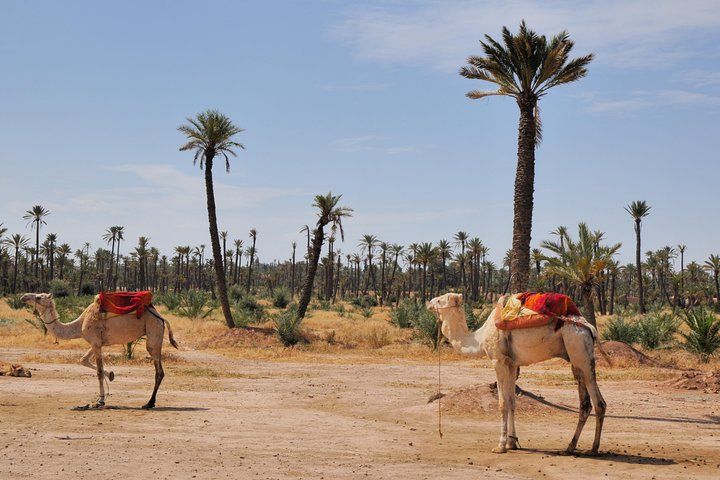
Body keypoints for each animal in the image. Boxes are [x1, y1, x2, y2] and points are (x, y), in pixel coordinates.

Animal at [21, 292, 178, 409]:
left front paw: (100, 400)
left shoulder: (95, 342)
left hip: (153, 331)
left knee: (159, 370)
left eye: (38, 297)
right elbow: (83, 360)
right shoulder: (96, 343)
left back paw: (149, 403)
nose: (23, 296)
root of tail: (161, 317)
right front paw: (111, 375)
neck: (79, 324)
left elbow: (98, 371)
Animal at [428, 292, 606, 455]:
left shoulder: (498, 361)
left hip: (579, 350)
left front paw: (500, 446)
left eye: (440, 300)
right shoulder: (512, 364)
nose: (428, 303)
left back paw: (593, 449)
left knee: (598, 402)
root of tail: (589, 328)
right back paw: (570, 447)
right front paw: (512, 443)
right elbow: (512, 401)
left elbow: (502, 403)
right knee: (586, 404)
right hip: (576, 357)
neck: (478, 338)